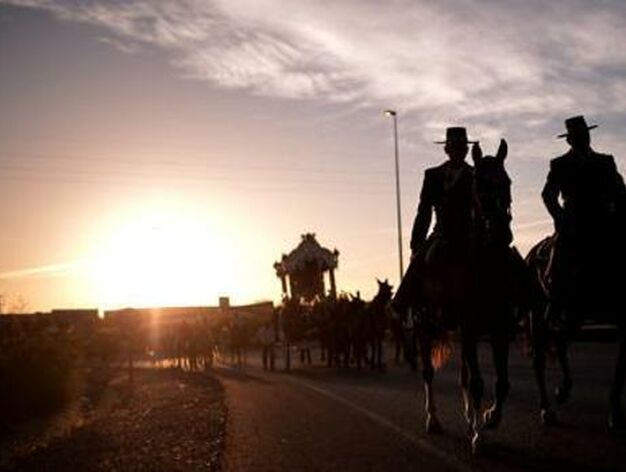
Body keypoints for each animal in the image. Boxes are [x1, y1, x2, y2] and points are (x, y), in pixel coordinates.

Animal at [408, 140, 524, 454]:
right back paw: (433, 420)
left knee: (462, 374)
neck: (484, 266)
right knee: (429, 373)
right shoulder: (470, 328)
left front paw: (489, 418)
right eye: (479, 185)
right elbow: (477, 383)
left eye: (507, 182)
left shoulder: (499, 329)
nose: (502, 232)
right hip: (425, 327)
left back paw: (470, 418)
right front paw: (479, 438)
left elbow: (502, 383)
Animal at [520, 233, 624, 432]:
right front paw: (615, 414)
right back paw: (546, 409)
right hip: (538, 314)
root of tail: (532, 253)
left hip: (574, 314)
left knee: (560, 344)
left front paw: (615, 414)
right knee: (539, 360)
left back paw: (563, 389)